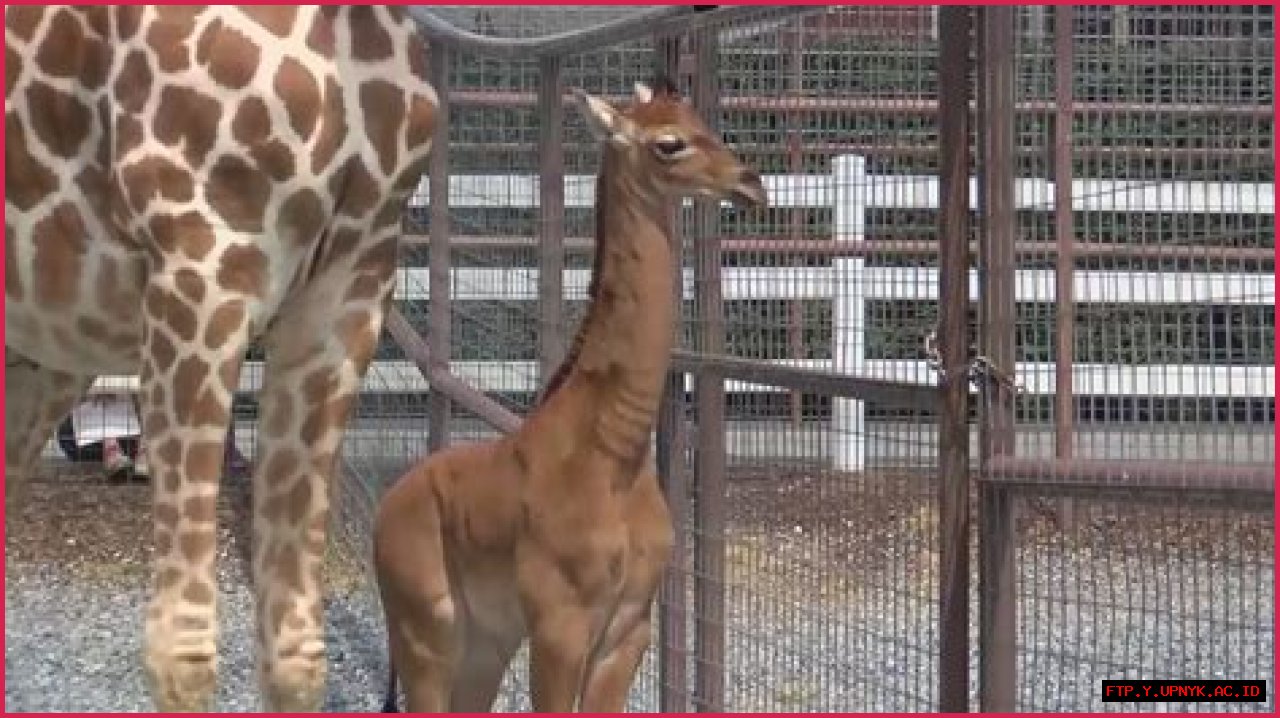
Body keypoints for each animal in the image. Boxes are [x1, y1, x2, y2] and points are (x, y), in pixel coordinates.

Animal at [374, 78, 767, 712]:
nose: (749, 182)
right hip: (425, 635)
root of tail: (384, 513)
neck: (614, 457)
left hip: (483, 645)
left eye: (699, 119)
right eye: (669, 143)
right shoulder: (560, 625)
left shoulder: (629, 627)